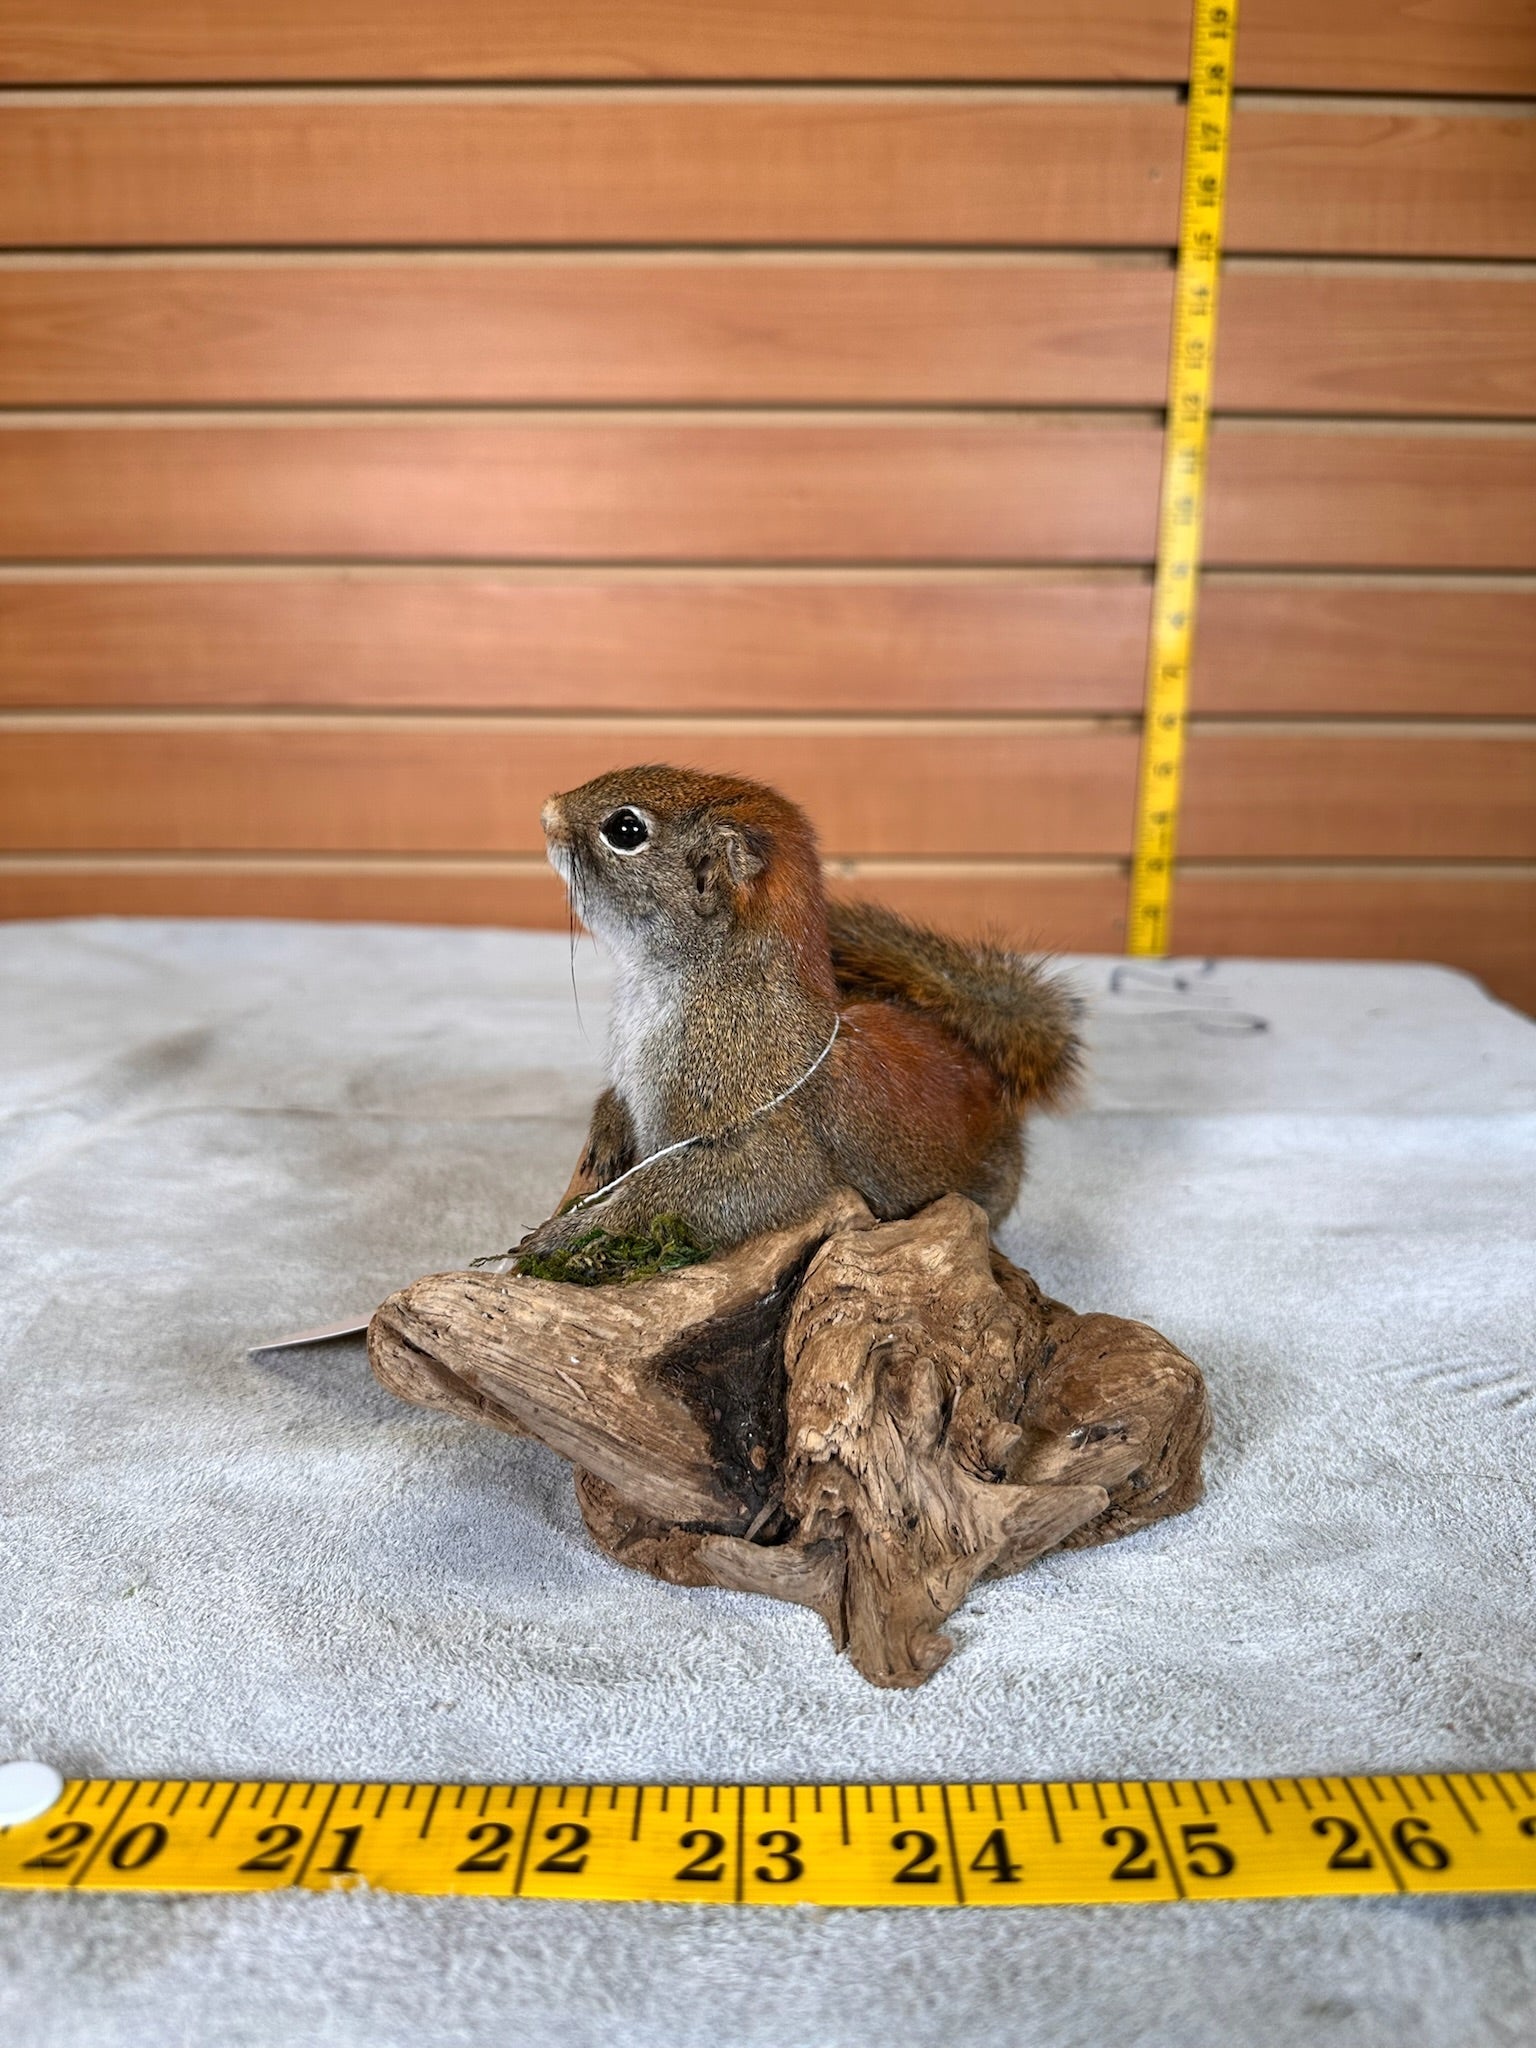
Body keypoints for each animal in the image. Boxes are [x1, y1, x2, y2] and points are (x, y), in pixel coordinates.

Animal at [519, 764, 1081, 1262]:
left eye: (626, 829)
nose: (546, 811)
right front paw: (608, 1125)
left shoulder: (766, 1134)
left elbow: (742, 1188)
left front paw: (567, 1234)